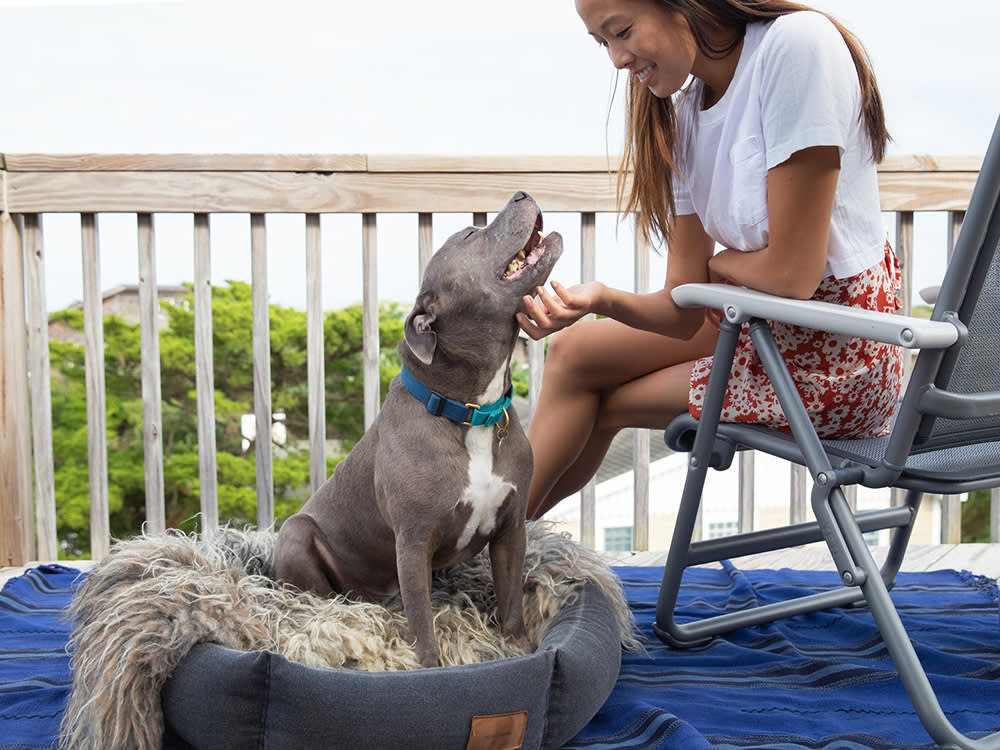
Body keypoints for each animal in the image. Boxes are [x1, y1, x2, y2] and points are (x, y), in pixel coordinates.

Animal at [276, 191, 564, 668]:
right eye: (470, 235)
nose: (520, 193)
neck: (470, 412)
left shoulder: (511, 531)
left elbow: (510, 601)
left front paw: (518, 649)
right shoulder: (412, 542)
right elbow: (423, 622)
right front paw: (428, 667)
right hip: (296, 534)